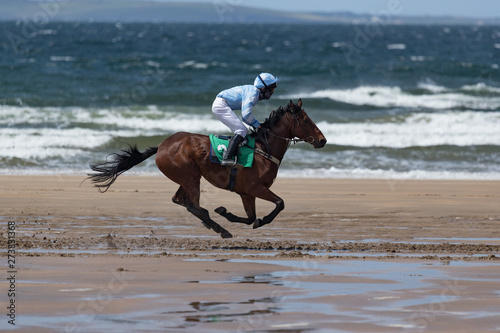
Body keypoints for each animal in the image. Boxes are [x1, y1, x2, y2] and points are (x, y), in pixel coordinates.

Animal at [88, 97, 326, 237]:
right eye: (306, 120)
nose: (322, 140)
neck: (263, 148)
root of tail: (162, 145)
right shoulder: (256, 188)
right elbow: (279, 203)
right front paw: (260, 221)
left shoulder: (246, 192)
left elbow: (250, 217)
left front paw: (227, 213)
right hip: (190, 176)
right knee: (194, 205)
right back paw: (218, 227)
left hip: (187, 177)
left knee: (180, 200)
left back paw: (214, 223)